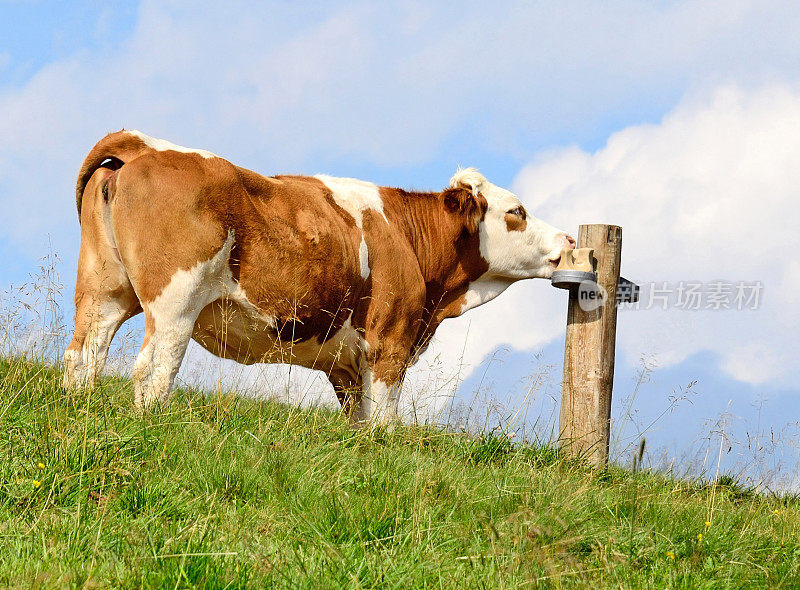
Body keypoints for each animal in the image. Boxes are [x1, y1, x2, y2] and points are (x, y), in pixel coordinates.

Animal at [64, 130, 576, 426]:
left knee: (82, 357)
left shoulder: (347, 365)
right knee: (152, 368)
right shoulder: (390, 341)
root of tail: (146, 146)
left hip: (104, 292)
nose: (569, 239)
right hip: (175, 302)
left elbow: (360, 422)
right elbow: (384, 422)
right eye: (517, 211)